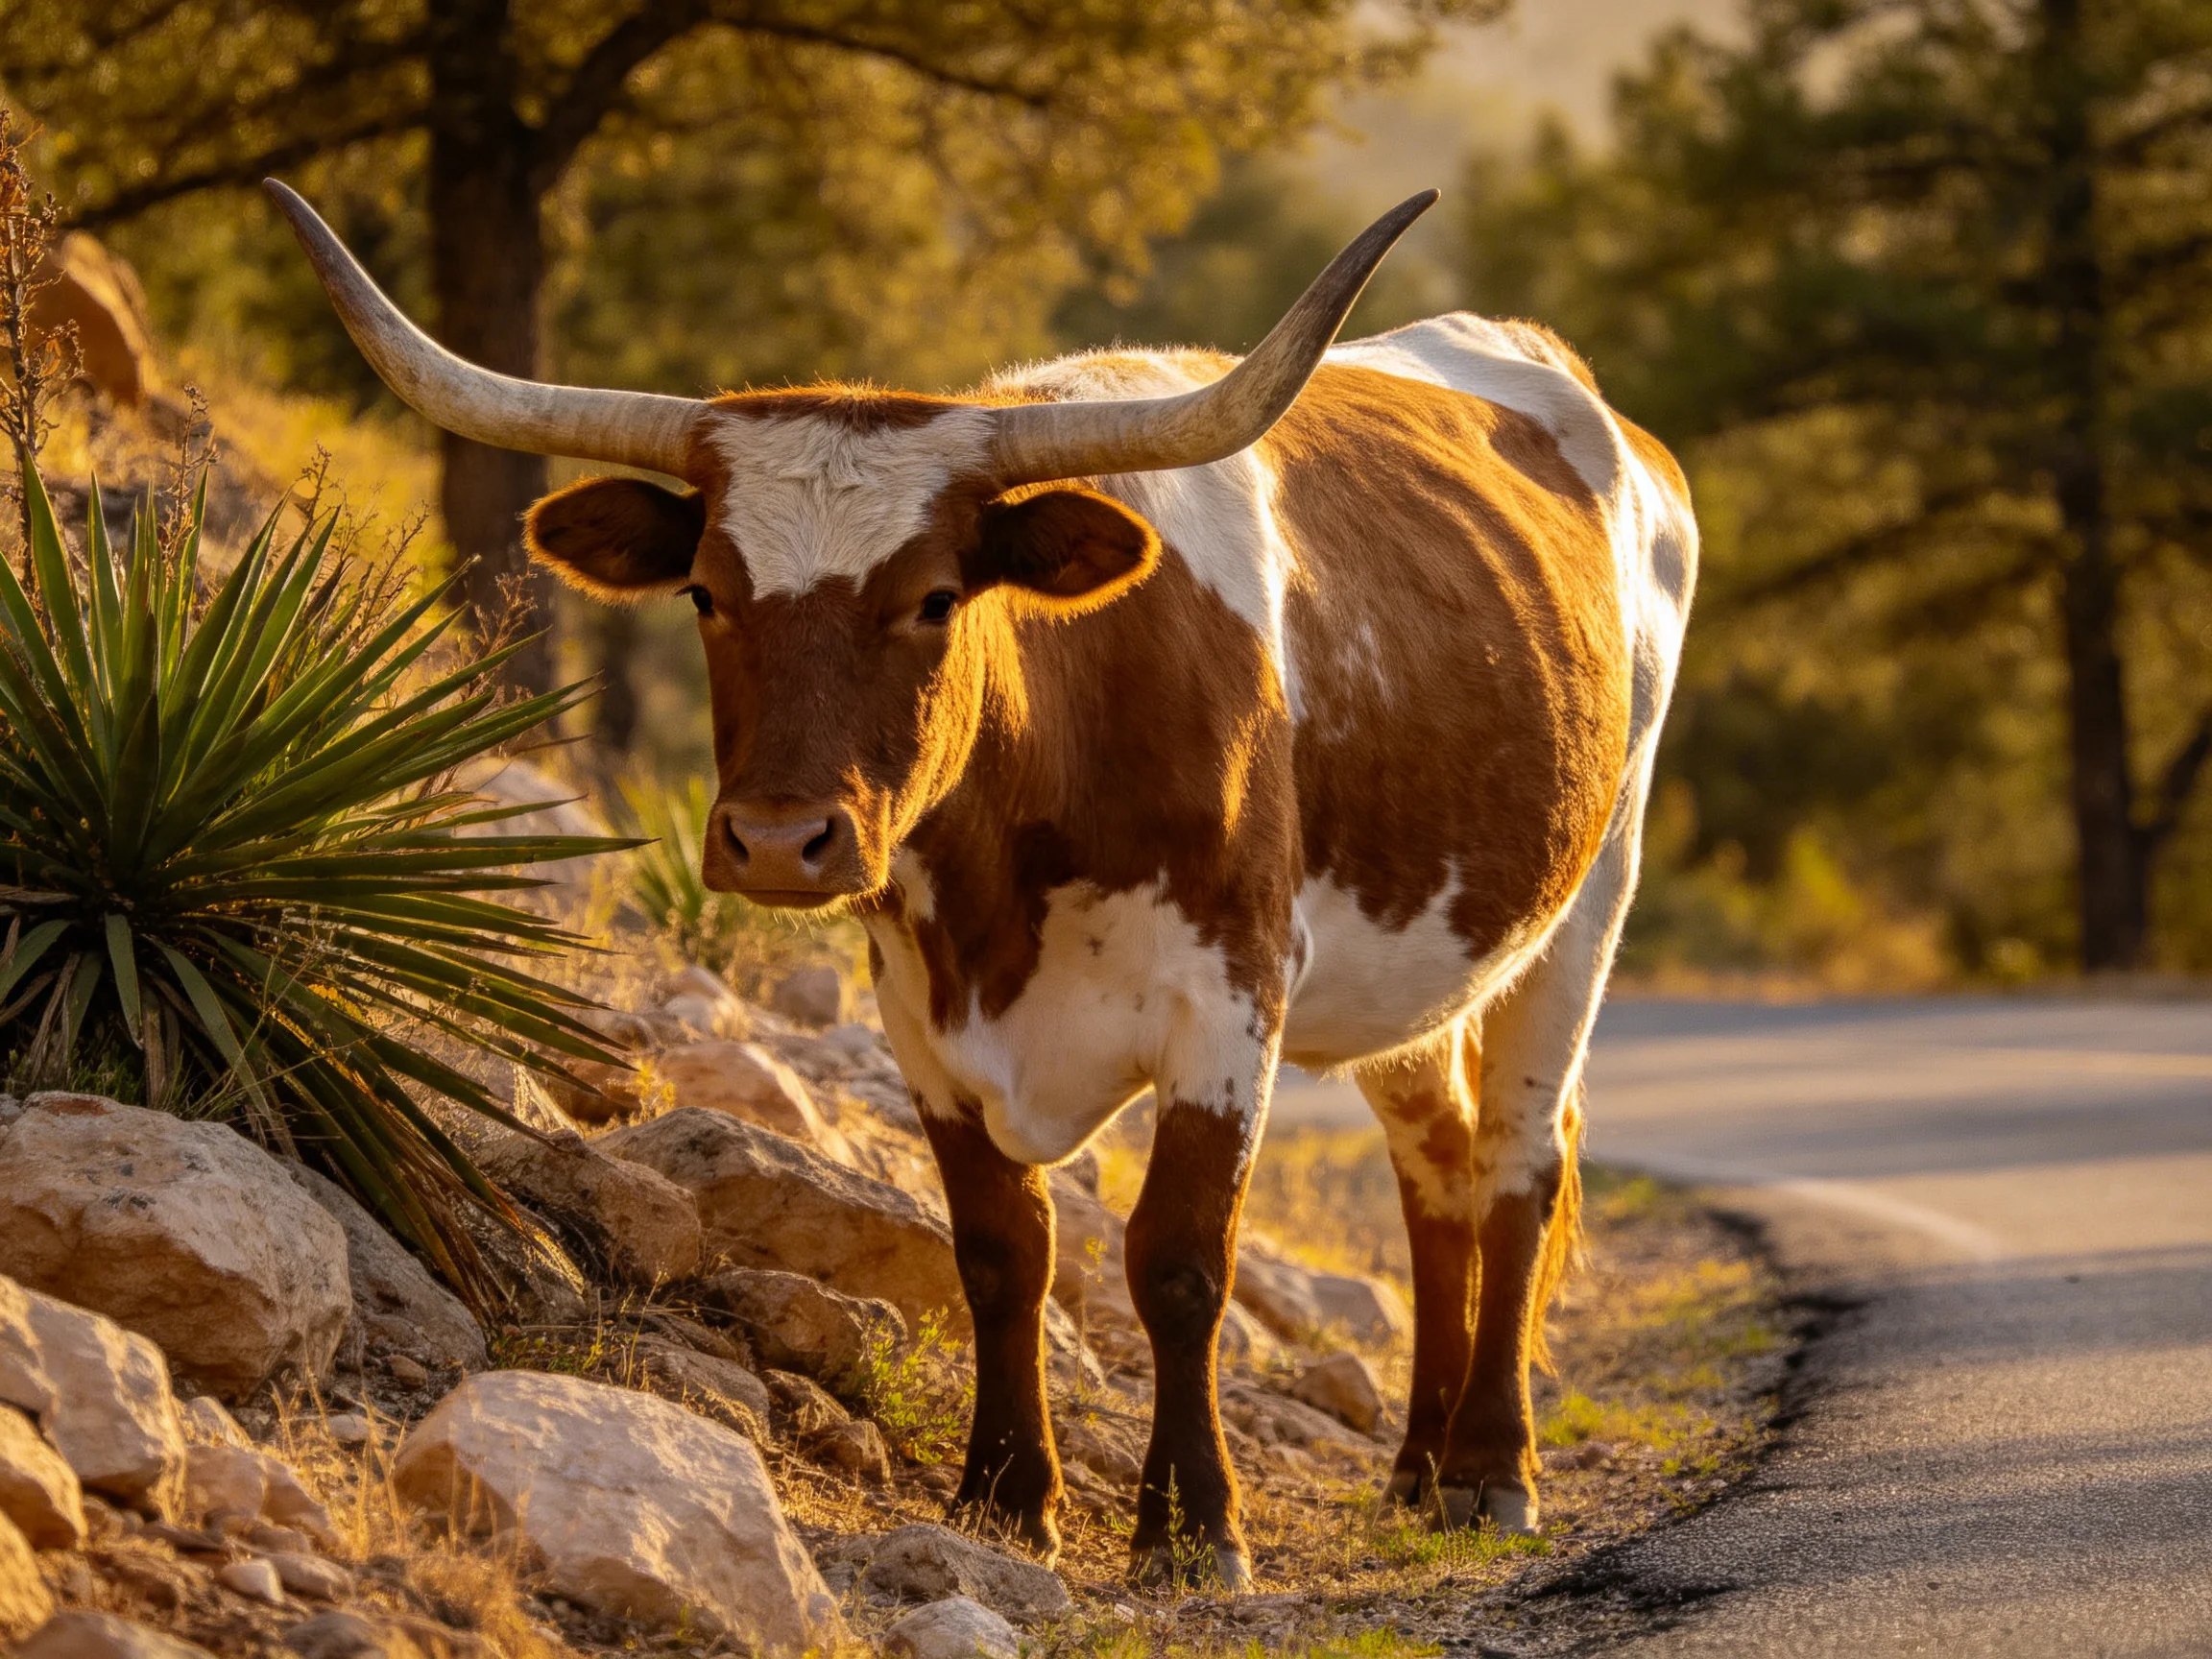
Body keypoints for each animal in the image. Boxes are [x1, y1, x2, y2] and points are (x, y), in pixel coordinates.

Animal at [271, 180, 1696, 1587]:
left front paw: (1193, 1528)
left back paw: (1490, 1467)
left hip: (1590, 894)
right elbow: (1003, 1253)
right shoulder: (922, 1015)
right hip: (1423, 951)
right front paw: (1007, 1498)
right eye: (707, 593)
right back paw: (1415, 1470)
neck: (1007, 867)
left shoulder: (1229, 996)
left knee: (1519, 1161)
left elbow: (1179, 1259)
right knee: (1436, 1164)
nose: (779, 840)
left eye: (937, 598)